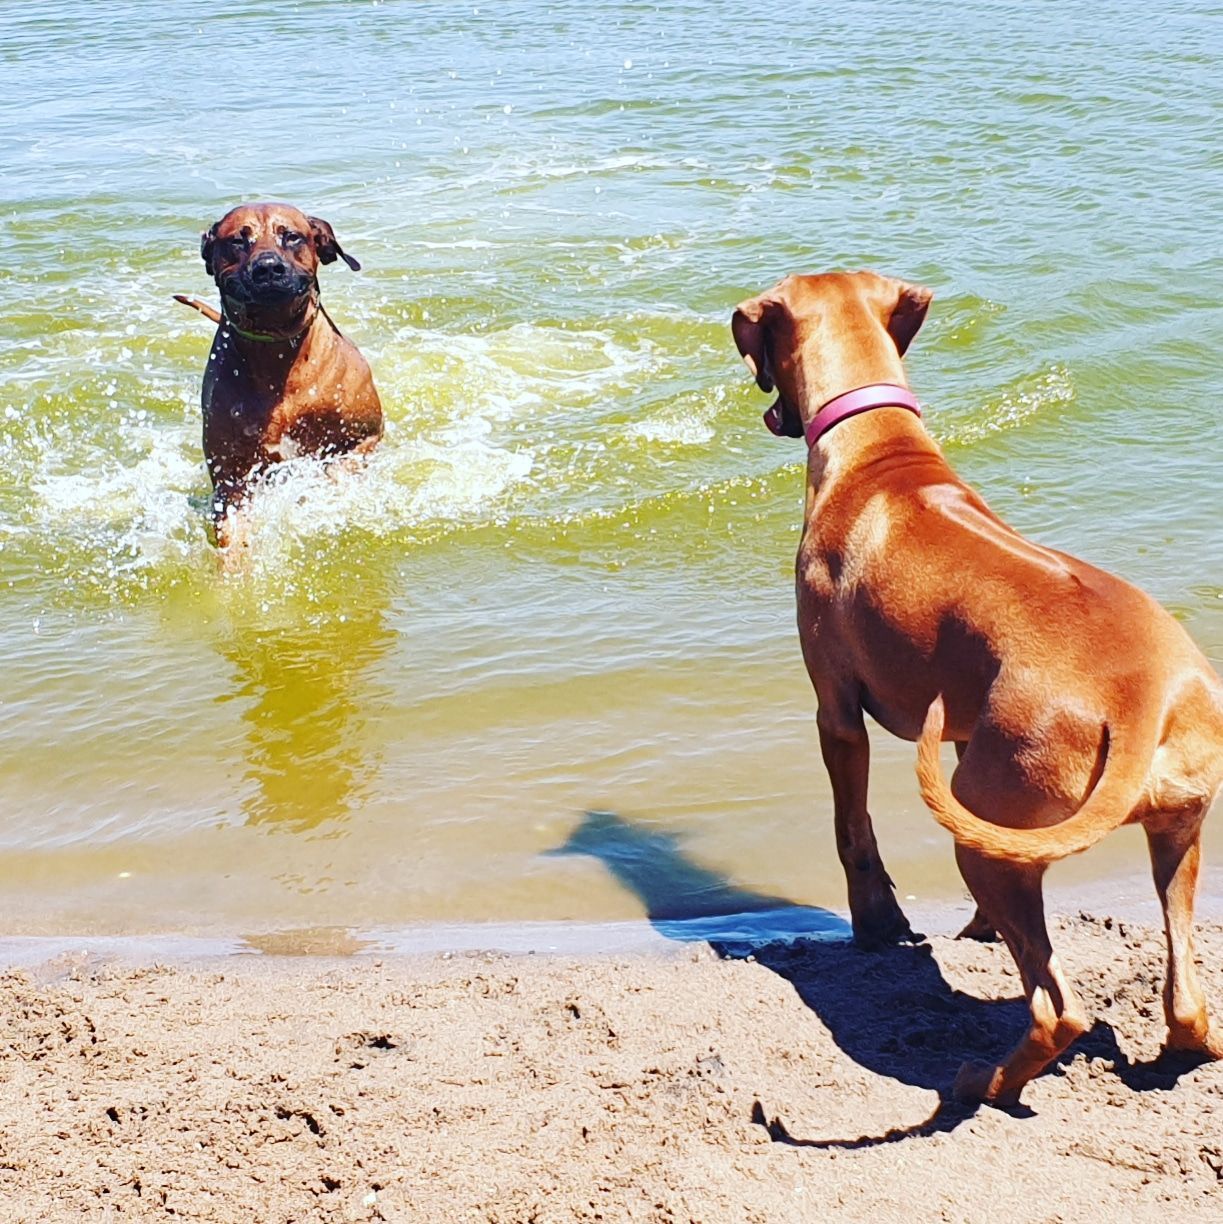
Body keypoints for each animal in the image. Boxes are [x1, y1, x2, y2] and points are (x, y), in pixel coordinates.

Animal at [178, 202, 383, 550]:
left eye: (292, 236)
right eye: (238, 240)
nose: (268, 268)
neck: (277, 358)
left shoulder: (366, 436)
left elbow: (337, 470)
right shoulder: (231, 475)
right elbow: (232, 531)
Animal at [732, 269, 1223, 1105]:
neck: (879, 448)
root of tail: (1141, 695)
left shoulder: (836, 712)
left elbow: (852, 831)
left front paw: (876, 927)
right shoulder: (966, 734)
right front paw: (977, 932)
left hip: (982, 829)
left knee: (1059, 1012)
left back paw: (981, 1082)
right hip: (1172, 829)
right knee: (1183, 1000)